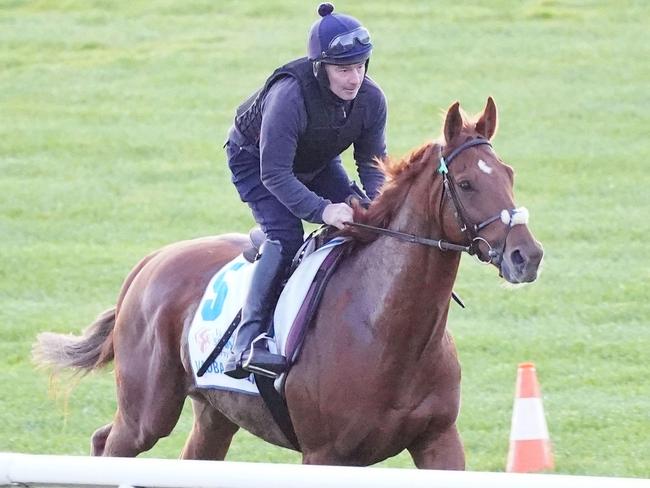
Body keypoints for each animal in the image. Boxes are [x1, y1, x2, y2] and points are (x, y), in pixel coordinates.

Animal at [34, 97, 540, 468]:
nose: (527, 255)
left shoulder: (438, 439)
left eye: (510, 174)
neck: (385, 329)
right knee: (107, 442)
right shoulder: (326, 455)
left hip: (215, 413)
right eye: (467, 183)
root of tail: (151, 261)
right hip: (147, 411)